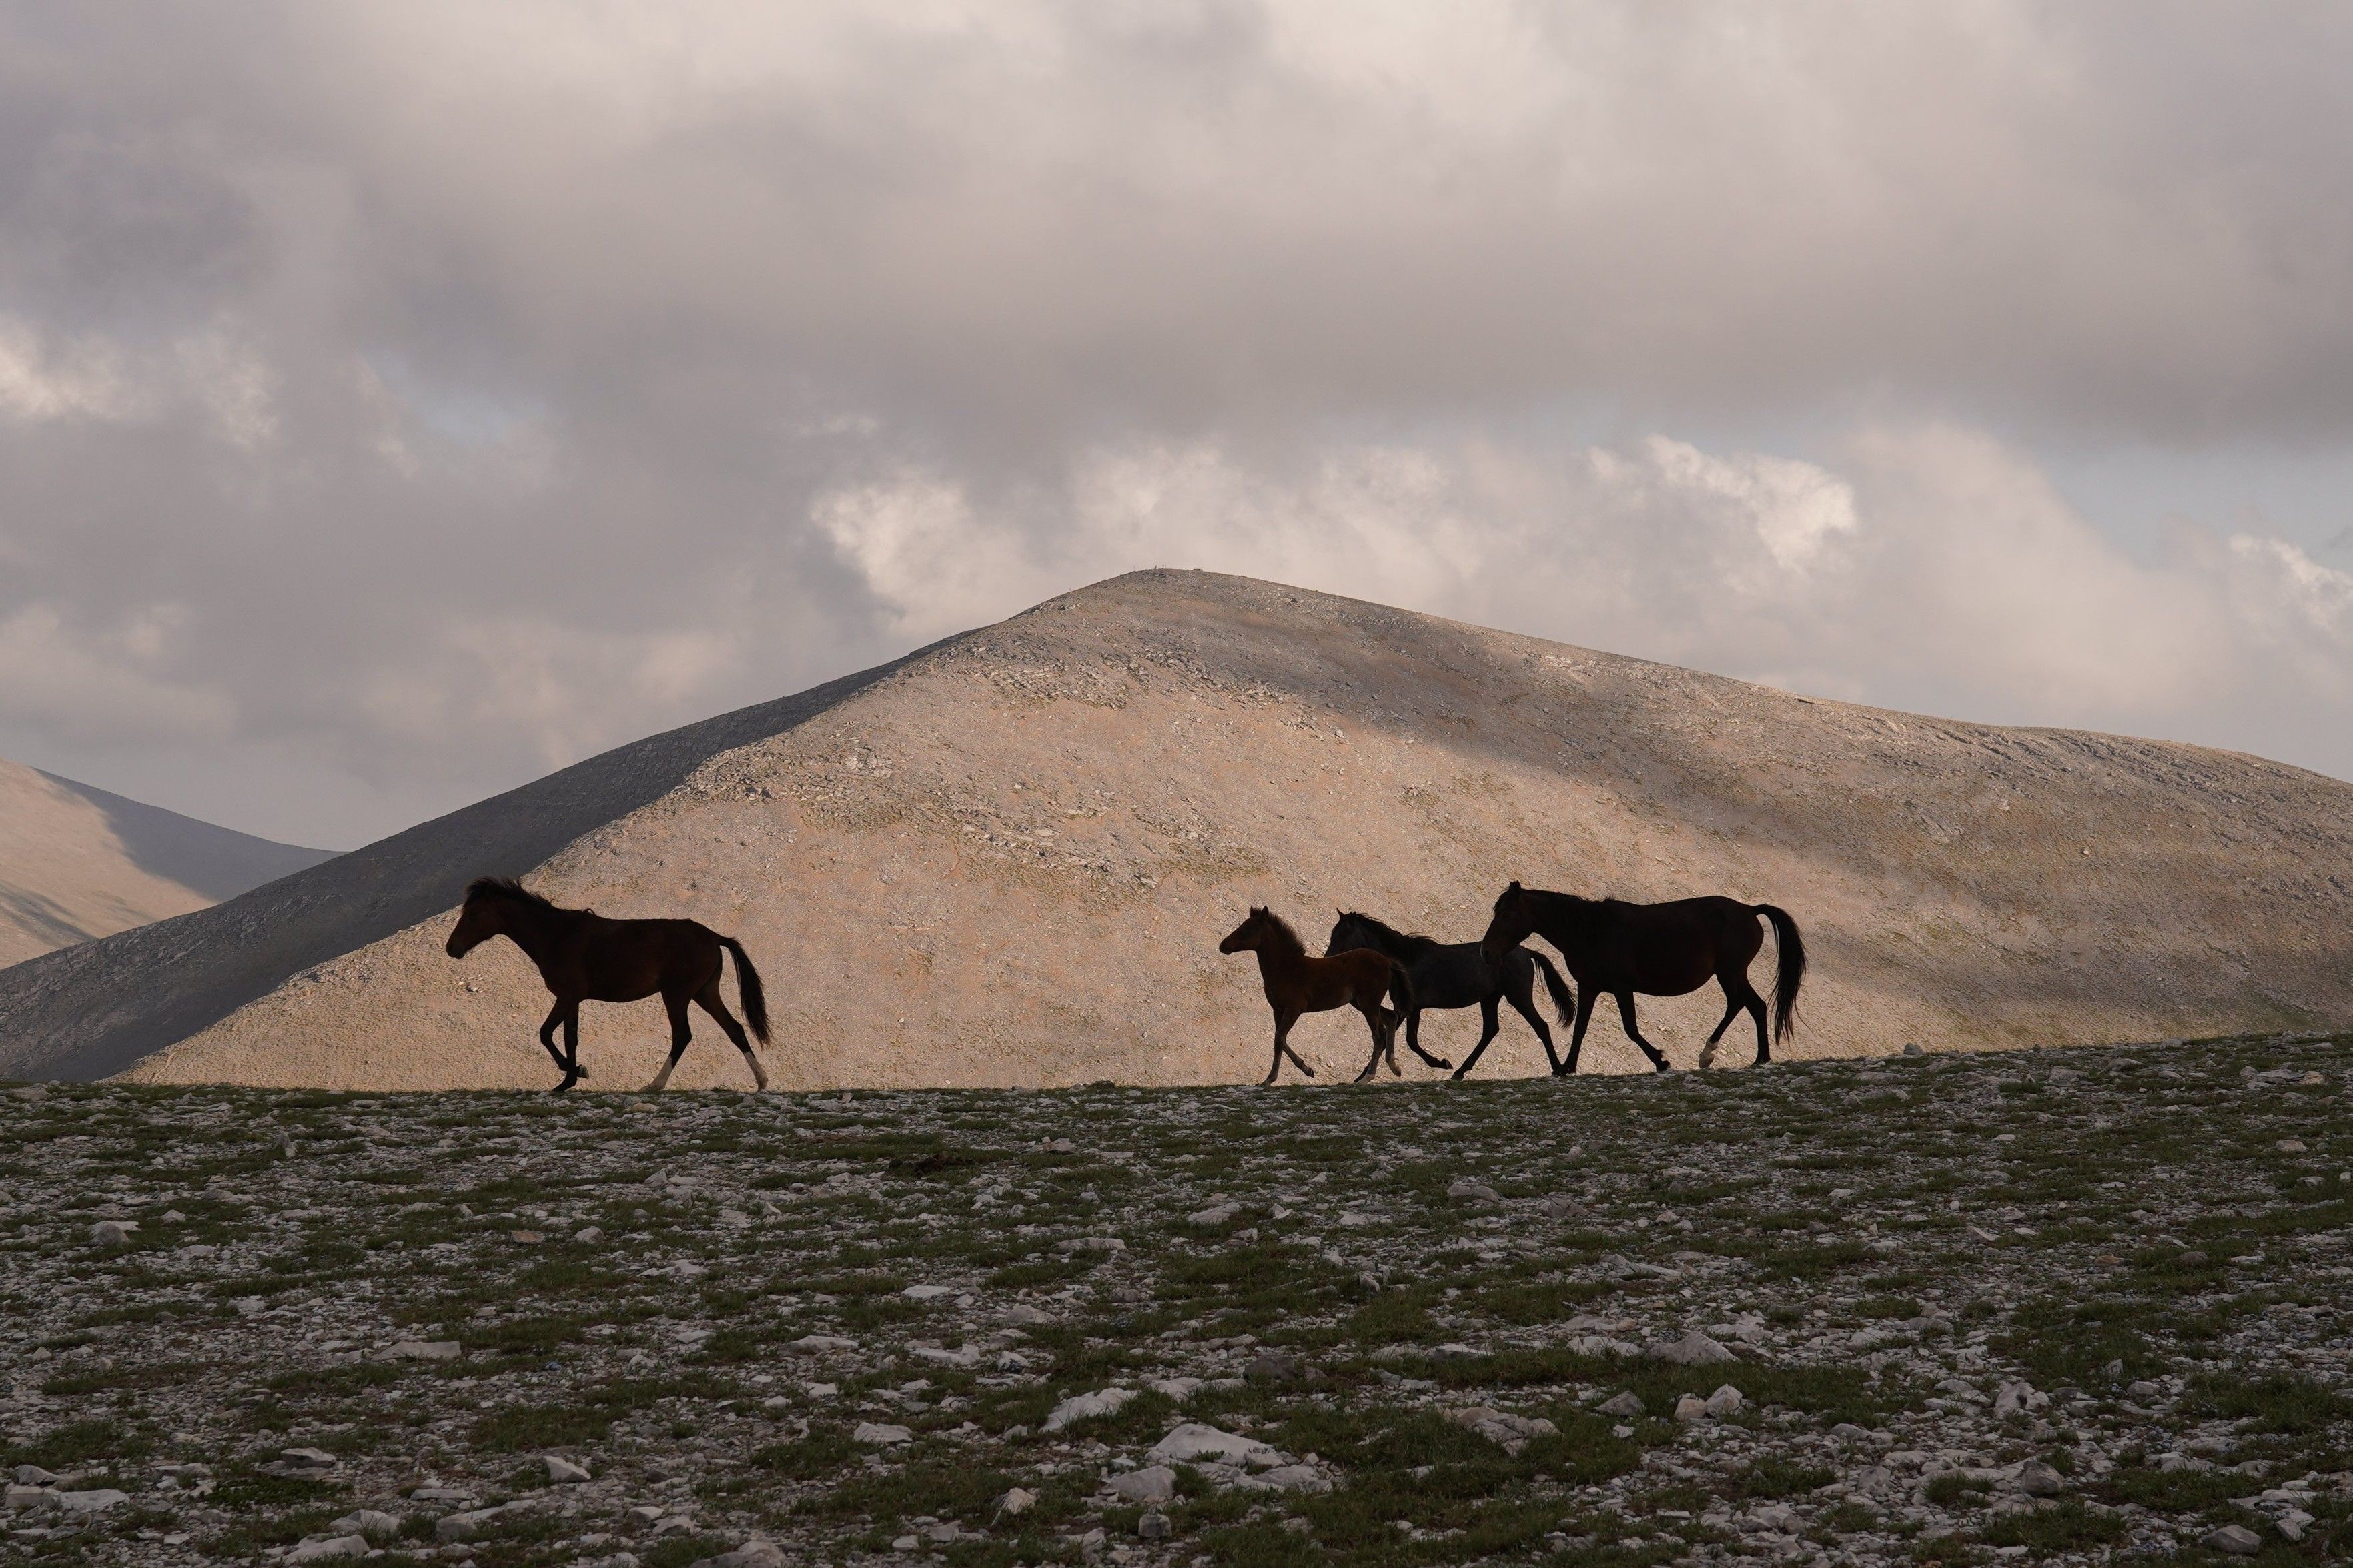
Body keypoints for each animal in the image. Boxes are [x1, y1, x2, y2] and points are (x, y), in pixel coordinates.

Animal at [445, 877, 771, 1093]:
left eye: (473, 914)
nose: (452, 948)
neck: (557, 936)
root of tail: (714, 936)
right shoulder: (573, 1000)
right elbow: (570, 1038)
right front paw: (569, 1080)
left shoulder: (567, 996)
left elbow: (546, 1034)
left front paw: (575, 1073)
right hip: (705, 993)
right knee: (735, 1029)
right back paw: (761, 1081)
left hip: (676, 995)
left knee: (683, 1036)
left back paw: (654, 1085)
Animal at [1219, 906, 1418, 1086]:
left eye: (1247, 929)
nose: (1223, 946)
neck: (1286, 969)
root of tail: (1386, 961)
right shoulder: (1278, 1010)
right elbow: (1278, 1041)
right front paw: (1272, 1079)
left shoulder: (1294, 1009)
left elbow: (1280, 1037)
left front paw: (1305, 1070)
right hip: (1362, 1003)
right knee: (1391, 1018)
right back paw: (1394, 1067)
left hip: (1368, 1004)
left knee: (1379, 1034)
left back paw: (1366, 1078)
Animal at [1326, 910, 1577, 1080]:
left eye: (1341, 935)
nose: (1328, 958)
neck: (1405, 959)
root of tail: (1527, 953)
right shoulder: (1409, 1009)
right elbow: (1401, 1039)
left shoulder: (1407, 1007)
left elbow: (1402, 1039)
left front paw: (1441, 1063)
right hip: (1490, 999)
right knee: (1490, 1030)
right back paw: (1460, 1071)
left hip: (1519, 997)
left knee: (1541, 1026)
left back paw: (1558, 1069)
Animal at [1478, 882, 1804, 1074]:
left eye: (1506, 915)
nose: (1485, 952)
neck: (1591, 931)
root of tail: (1750, 910)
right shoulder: (1589, 988)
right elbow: (1580, 1029)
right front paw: (1568, 1066)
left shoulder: (1622, 988)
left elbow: (1631, 1029)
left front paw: (1661, 1061)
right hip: (1734, 974)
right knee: (1756, 1006)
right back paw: (1760, 1058)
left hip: (1729, 973)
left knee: (1739, 1004)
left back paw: (1709, 1054)